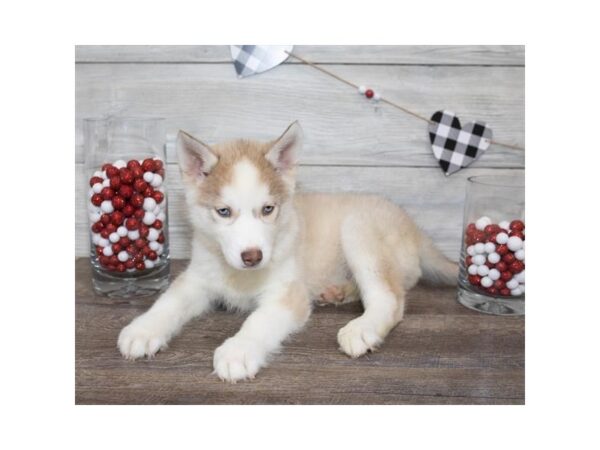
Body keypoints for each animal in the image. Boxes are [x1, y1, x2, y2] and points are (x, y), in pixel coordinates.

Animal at [117, 123, 458, 384]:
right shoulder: (197, 278)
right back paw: (337, 291)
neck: (240, 277)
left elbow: (259, 320)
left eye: (268, 209)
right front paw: (143, 329)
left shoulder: (287, 295)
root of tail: (413, 226)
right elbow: (168, 302)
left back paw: (362, 328)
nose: (252, 256)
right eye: (224, 211)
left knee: (389, 298)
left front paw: (239, 350)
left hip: (358, 227)